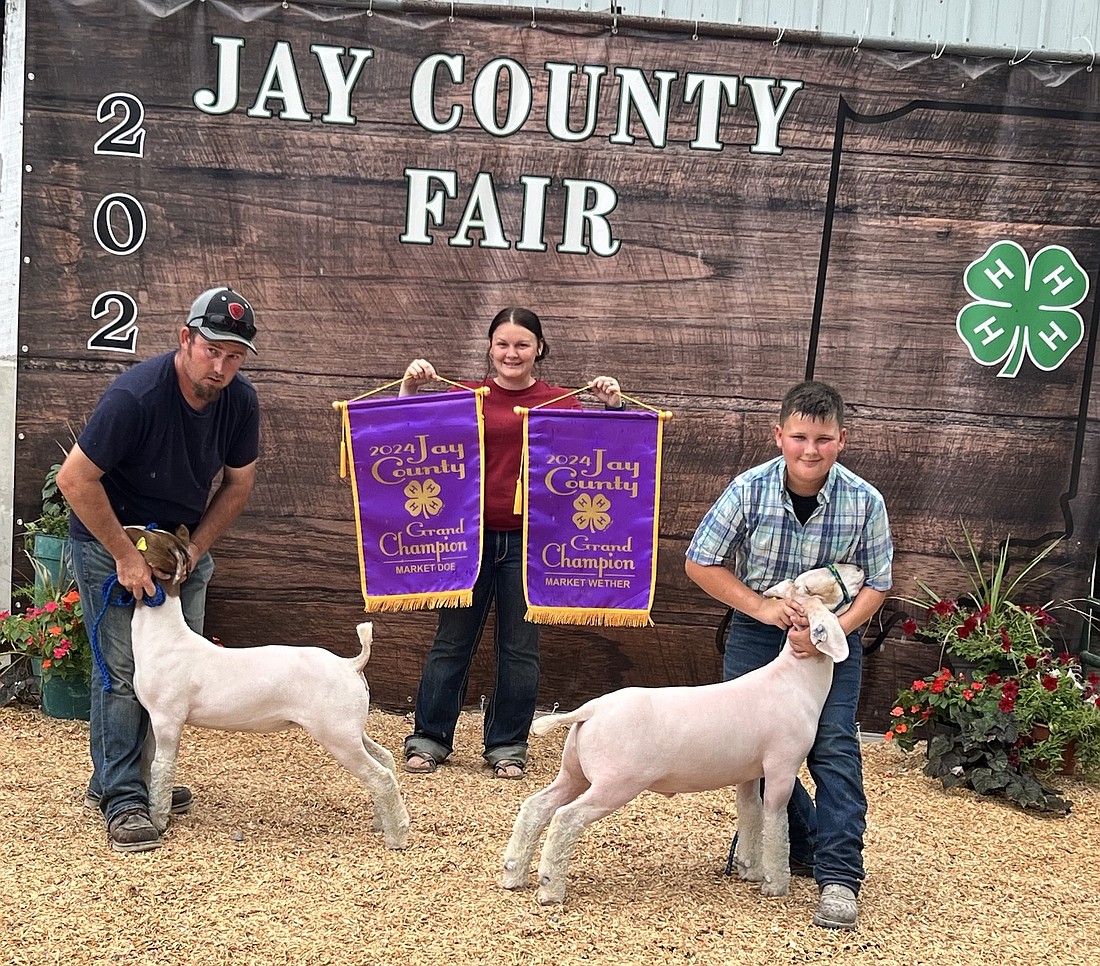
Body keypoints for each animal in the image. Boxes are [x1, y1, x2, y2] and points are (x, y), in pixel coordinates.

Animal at [121, 525, 413, 849]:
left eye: (142, 539)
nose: (123, 529)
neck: (166, 638)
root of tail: (350, 664)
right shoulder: (153, 719)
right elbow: (148, 761)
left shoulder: (168, 719)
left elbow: (162, 768)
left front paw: (158, 821)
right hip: (350, 730)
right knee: (385, 760)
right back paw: (381, 822)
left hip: (337, 735)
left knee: (380, 776)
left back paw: (397, 836)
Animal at [501, 563, 866, 902]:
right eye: (827, 578)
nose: (861, 570)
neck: (795, 679)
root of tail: (590, 710)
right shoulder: (782, 767)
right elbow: (776, 823)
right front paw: (775, 883)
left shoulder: (750, 773)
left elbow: (751, 814)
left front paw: (749, 868)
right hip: (615, 783)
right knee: (565, 819)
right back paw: (550, 888)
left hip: (575, 771)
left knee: (536, 807)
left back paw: (513, 873)